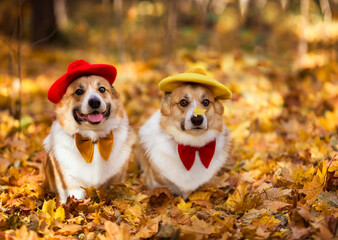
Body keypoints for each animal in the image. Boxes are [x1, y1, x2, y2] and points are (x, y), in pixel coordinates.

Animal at [43, 60, 135, 202]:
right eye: (79, 91)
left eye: (102, 89)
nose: (95, 102)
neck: (93, 140)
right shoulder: (71, 188)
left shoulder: (115, 182)